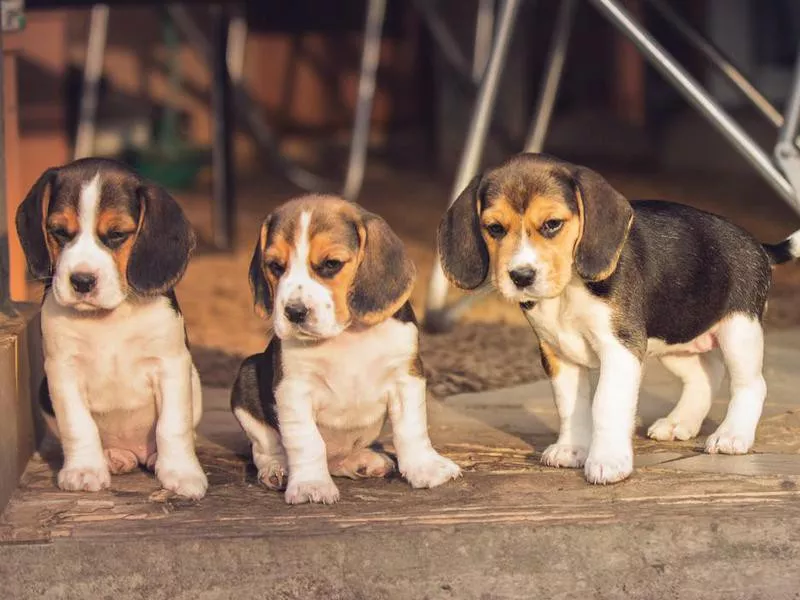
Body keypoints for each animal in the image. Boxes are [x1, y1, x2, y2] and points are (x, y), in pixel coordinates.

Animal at [16, 157, 208, 500]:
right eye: (58, 231)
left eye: (117, 234)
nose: (81, 281)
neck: (109, 316)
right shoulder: (63, 370)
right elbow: (78, 426)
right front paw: (84, 470)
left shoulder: (170, 365)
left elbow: (173, 426)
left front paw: (182, 473)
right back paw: (112, 457)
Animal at [228, 195, 460, 504]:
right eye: (276, 266)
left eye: (331, 264)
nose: (294, 312)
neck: (346, 333)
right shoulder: (294, 388)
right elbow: (306, 441)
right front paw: (311, 485)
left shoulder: (406, 377)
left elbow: (412, 428)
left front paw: (426, 467)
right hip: (247, 376)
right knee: (265, 449)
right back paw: (278, 470)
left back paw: (361, 461)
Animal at [438, 152, 800, 486]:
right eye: (495, 229)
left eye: (552, 224)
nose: (521, 276)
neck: (569, 288)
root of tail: (758, 245)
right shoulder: (558, 353)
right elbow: (569, 405)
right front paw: (571, 448)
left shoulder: (621, 348)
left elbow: (605, 404)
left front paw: (608, 461)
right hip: (671, 333)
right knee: (705, 375)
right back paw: (679, 422)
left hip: (739, 331)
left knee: (750, 385)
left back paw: (732, 435)